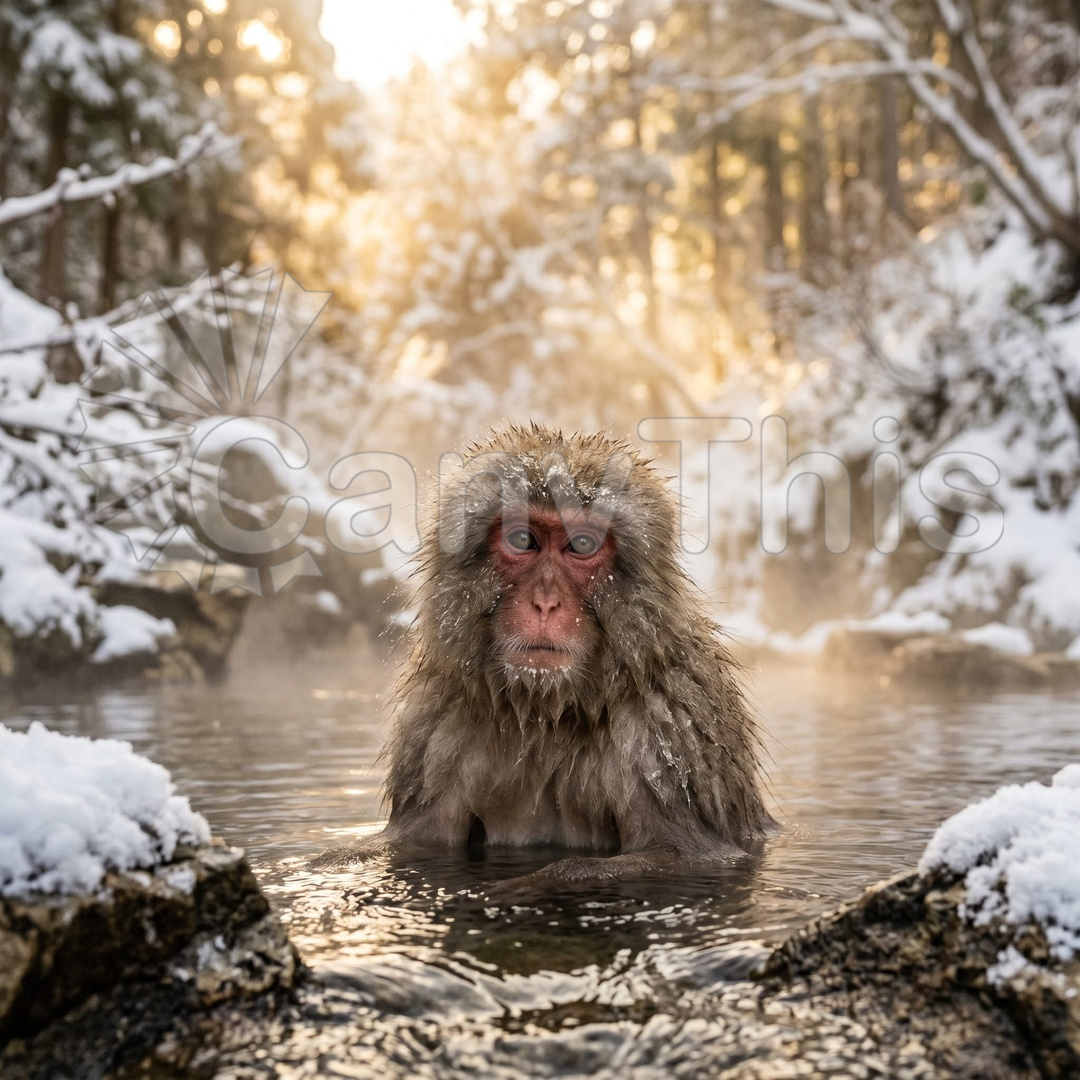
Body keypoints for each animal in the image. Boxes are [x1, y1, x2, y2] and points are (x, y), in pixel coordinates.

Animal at [313, 424, 775, 891]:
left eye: (582, 544)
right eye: (523, 539)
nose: (545, 603)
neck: (548, 712)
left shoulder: (671, 733)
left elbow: (690, 854)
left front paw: (523, 885)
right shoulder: (436, 722)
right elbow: (417, 838)